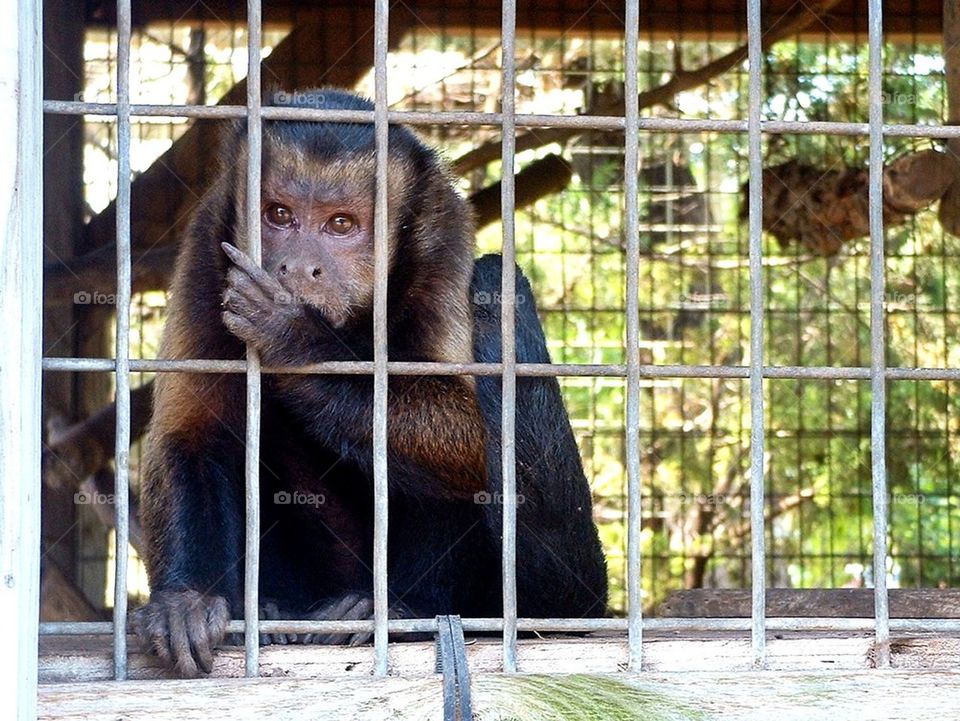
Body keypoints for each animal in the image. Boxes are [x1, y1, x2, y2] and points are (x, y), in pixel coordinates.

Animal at [133, 88, 607, 677]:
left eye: (341, 225)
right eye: (279, 215)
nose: (297, 267)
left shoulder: (443, 252)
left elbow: (479, 439)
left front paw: (298, 340)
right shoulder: (207, 248)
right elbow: (191, 434)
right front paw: (188, 598)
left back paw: (399, 610)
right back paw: (270, 610)